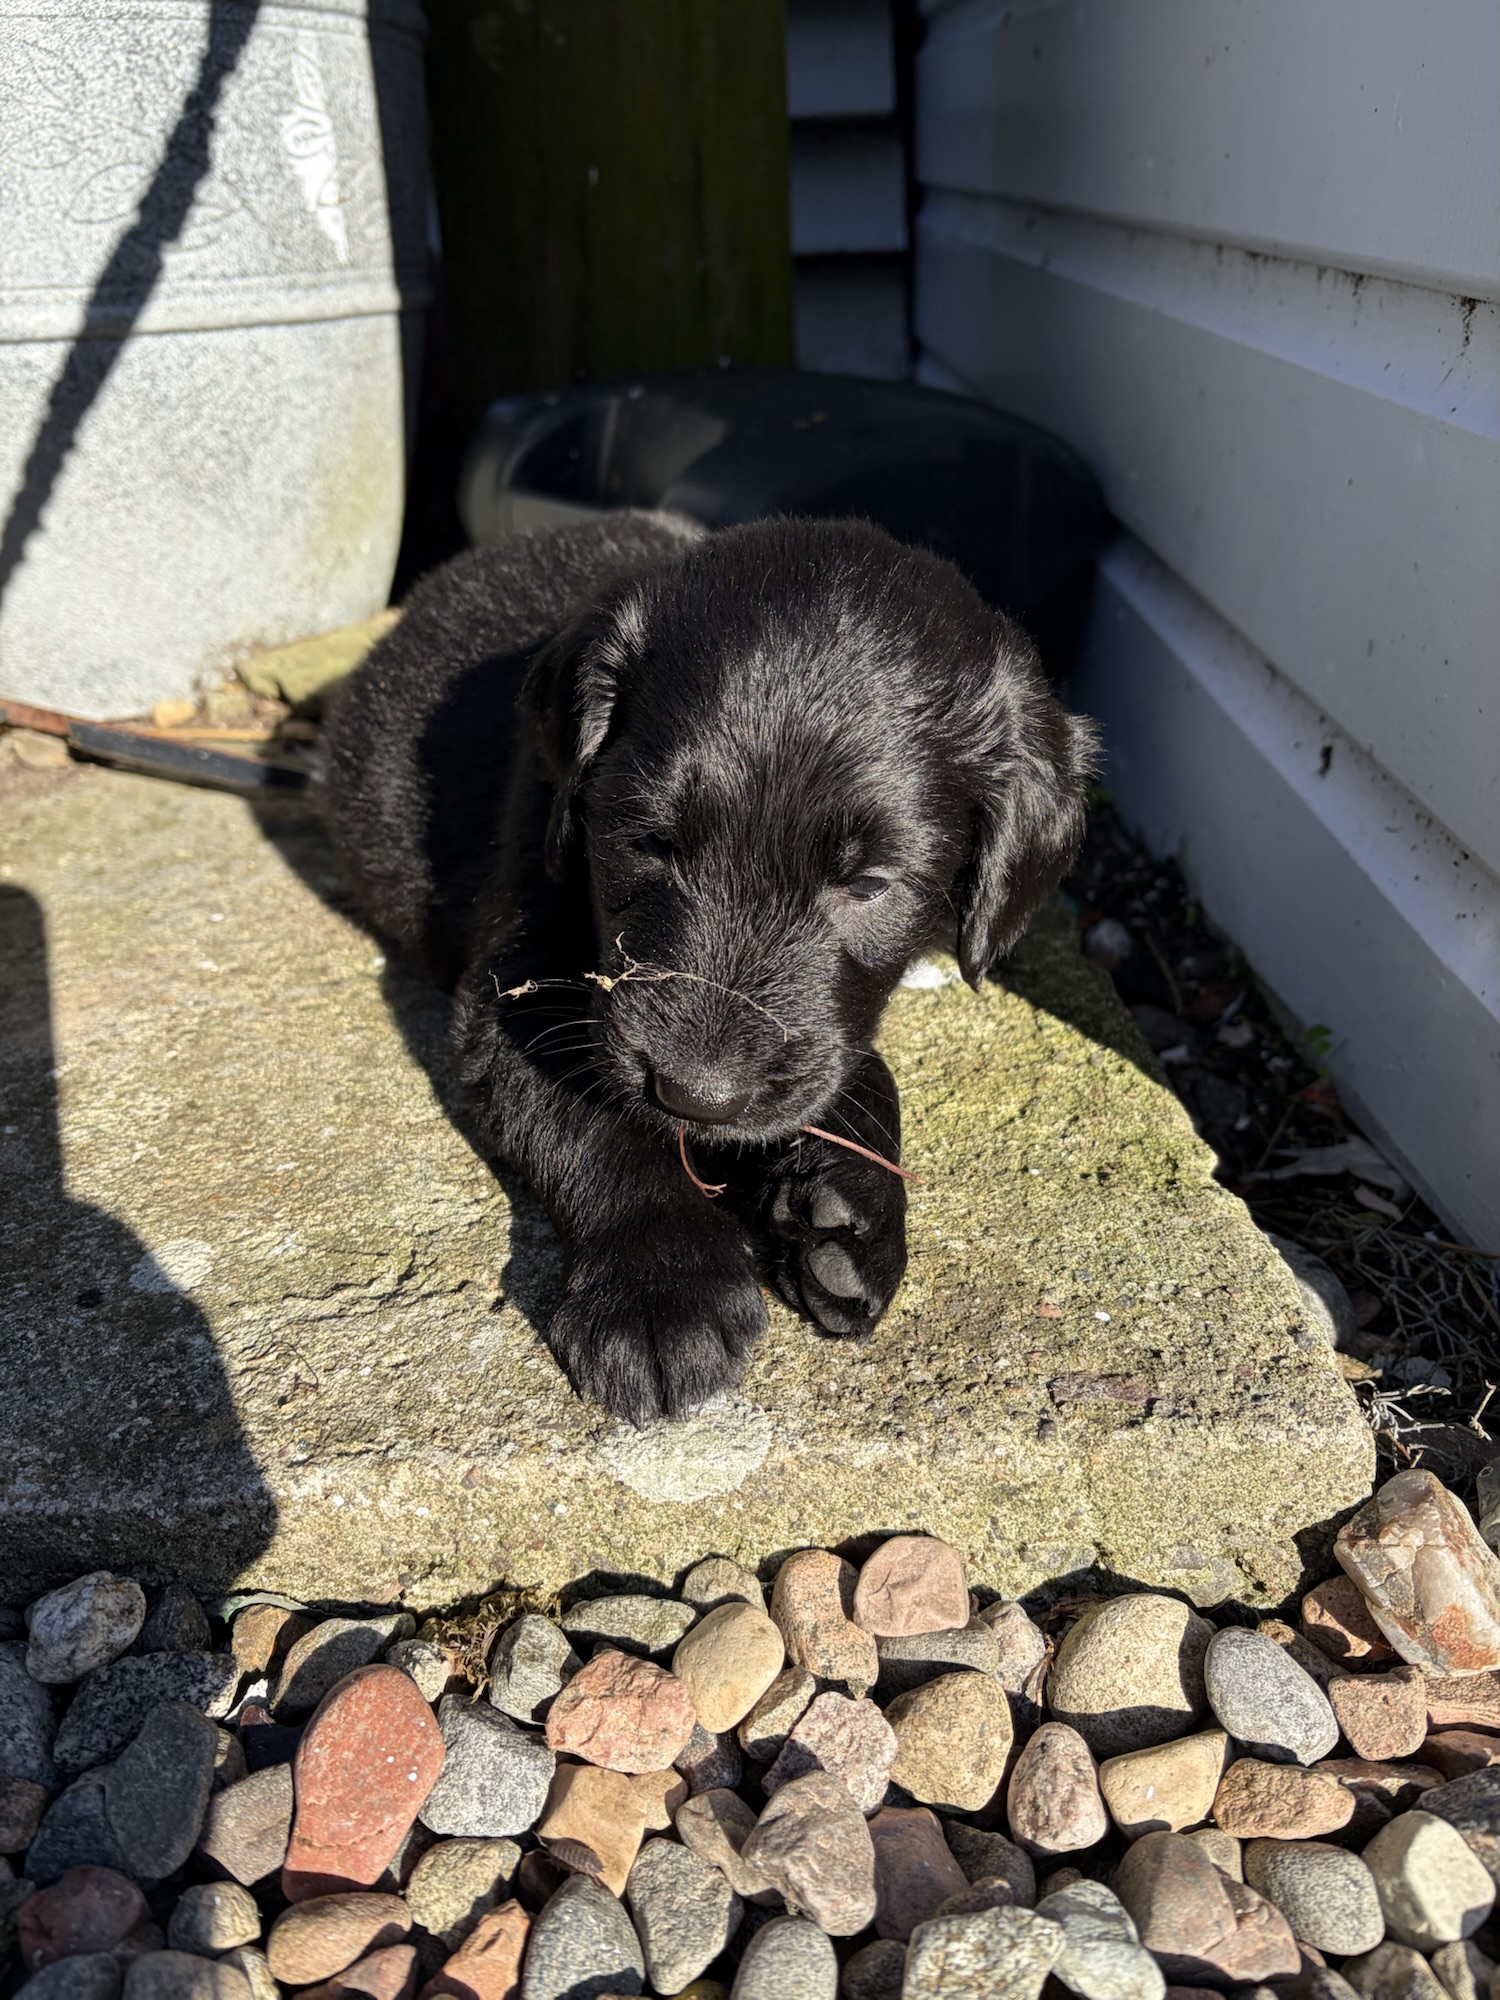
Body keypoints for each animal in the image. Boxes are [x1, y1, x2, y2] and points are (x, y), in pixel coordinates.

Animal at [322, 511, 1097, 1423]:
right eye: (648, 840)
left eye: (871, 884)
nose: (698, 1096)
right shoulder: (517, 987)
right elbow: (599, 1119)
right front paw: (663, 1288)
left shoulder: (821, 1030)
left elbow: (855, 1067)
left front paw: (857, 1215)